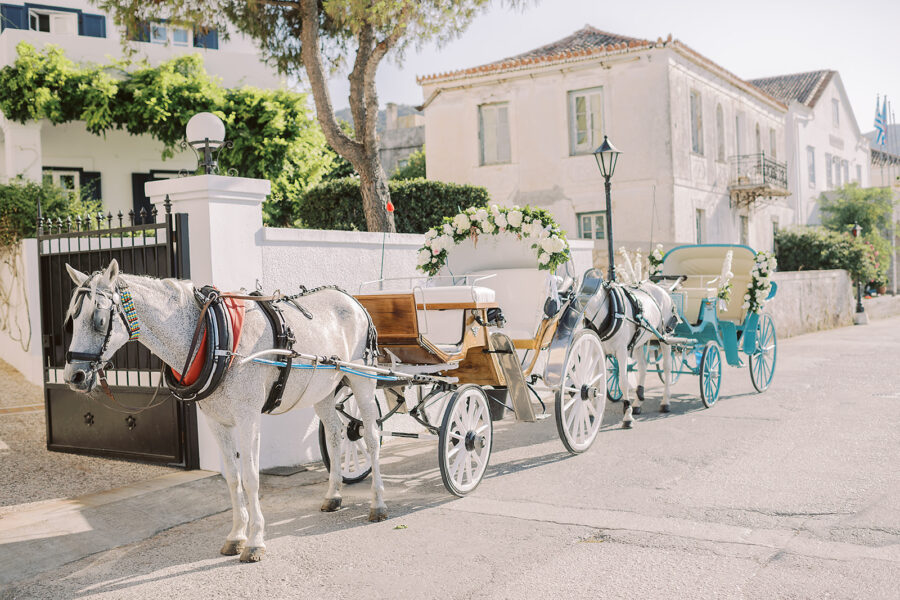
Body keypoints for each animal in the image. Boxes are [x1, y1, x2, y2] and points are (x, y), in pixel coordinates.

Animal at [62, 262, 386, 564]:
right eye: (71, 320)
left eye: (98, 319)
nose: (73, 376)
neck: (214, 339)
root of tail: (351, 299)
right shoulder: (216, 421)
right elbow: (232, 477)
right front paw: (236, 536)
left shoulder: (248, 417)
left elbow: (251, 477)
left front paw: (255, 542)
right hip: (323, 391)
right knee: (335, 434)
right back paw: (333, 496)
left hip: (362, 378)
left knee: (370, 437)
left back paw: (378, 504)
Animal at [596, 282, 676, 426]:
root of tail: (662, 289)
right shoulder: (601, 351)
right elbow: (598, 381)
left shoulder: (621, 350)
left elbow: (623, 382)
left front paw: (627, 416)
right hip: (640, 341)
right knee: (643, 367)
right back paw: (638, 403)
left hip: (665, 337)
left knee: (667, 367)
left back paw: (665, 401)